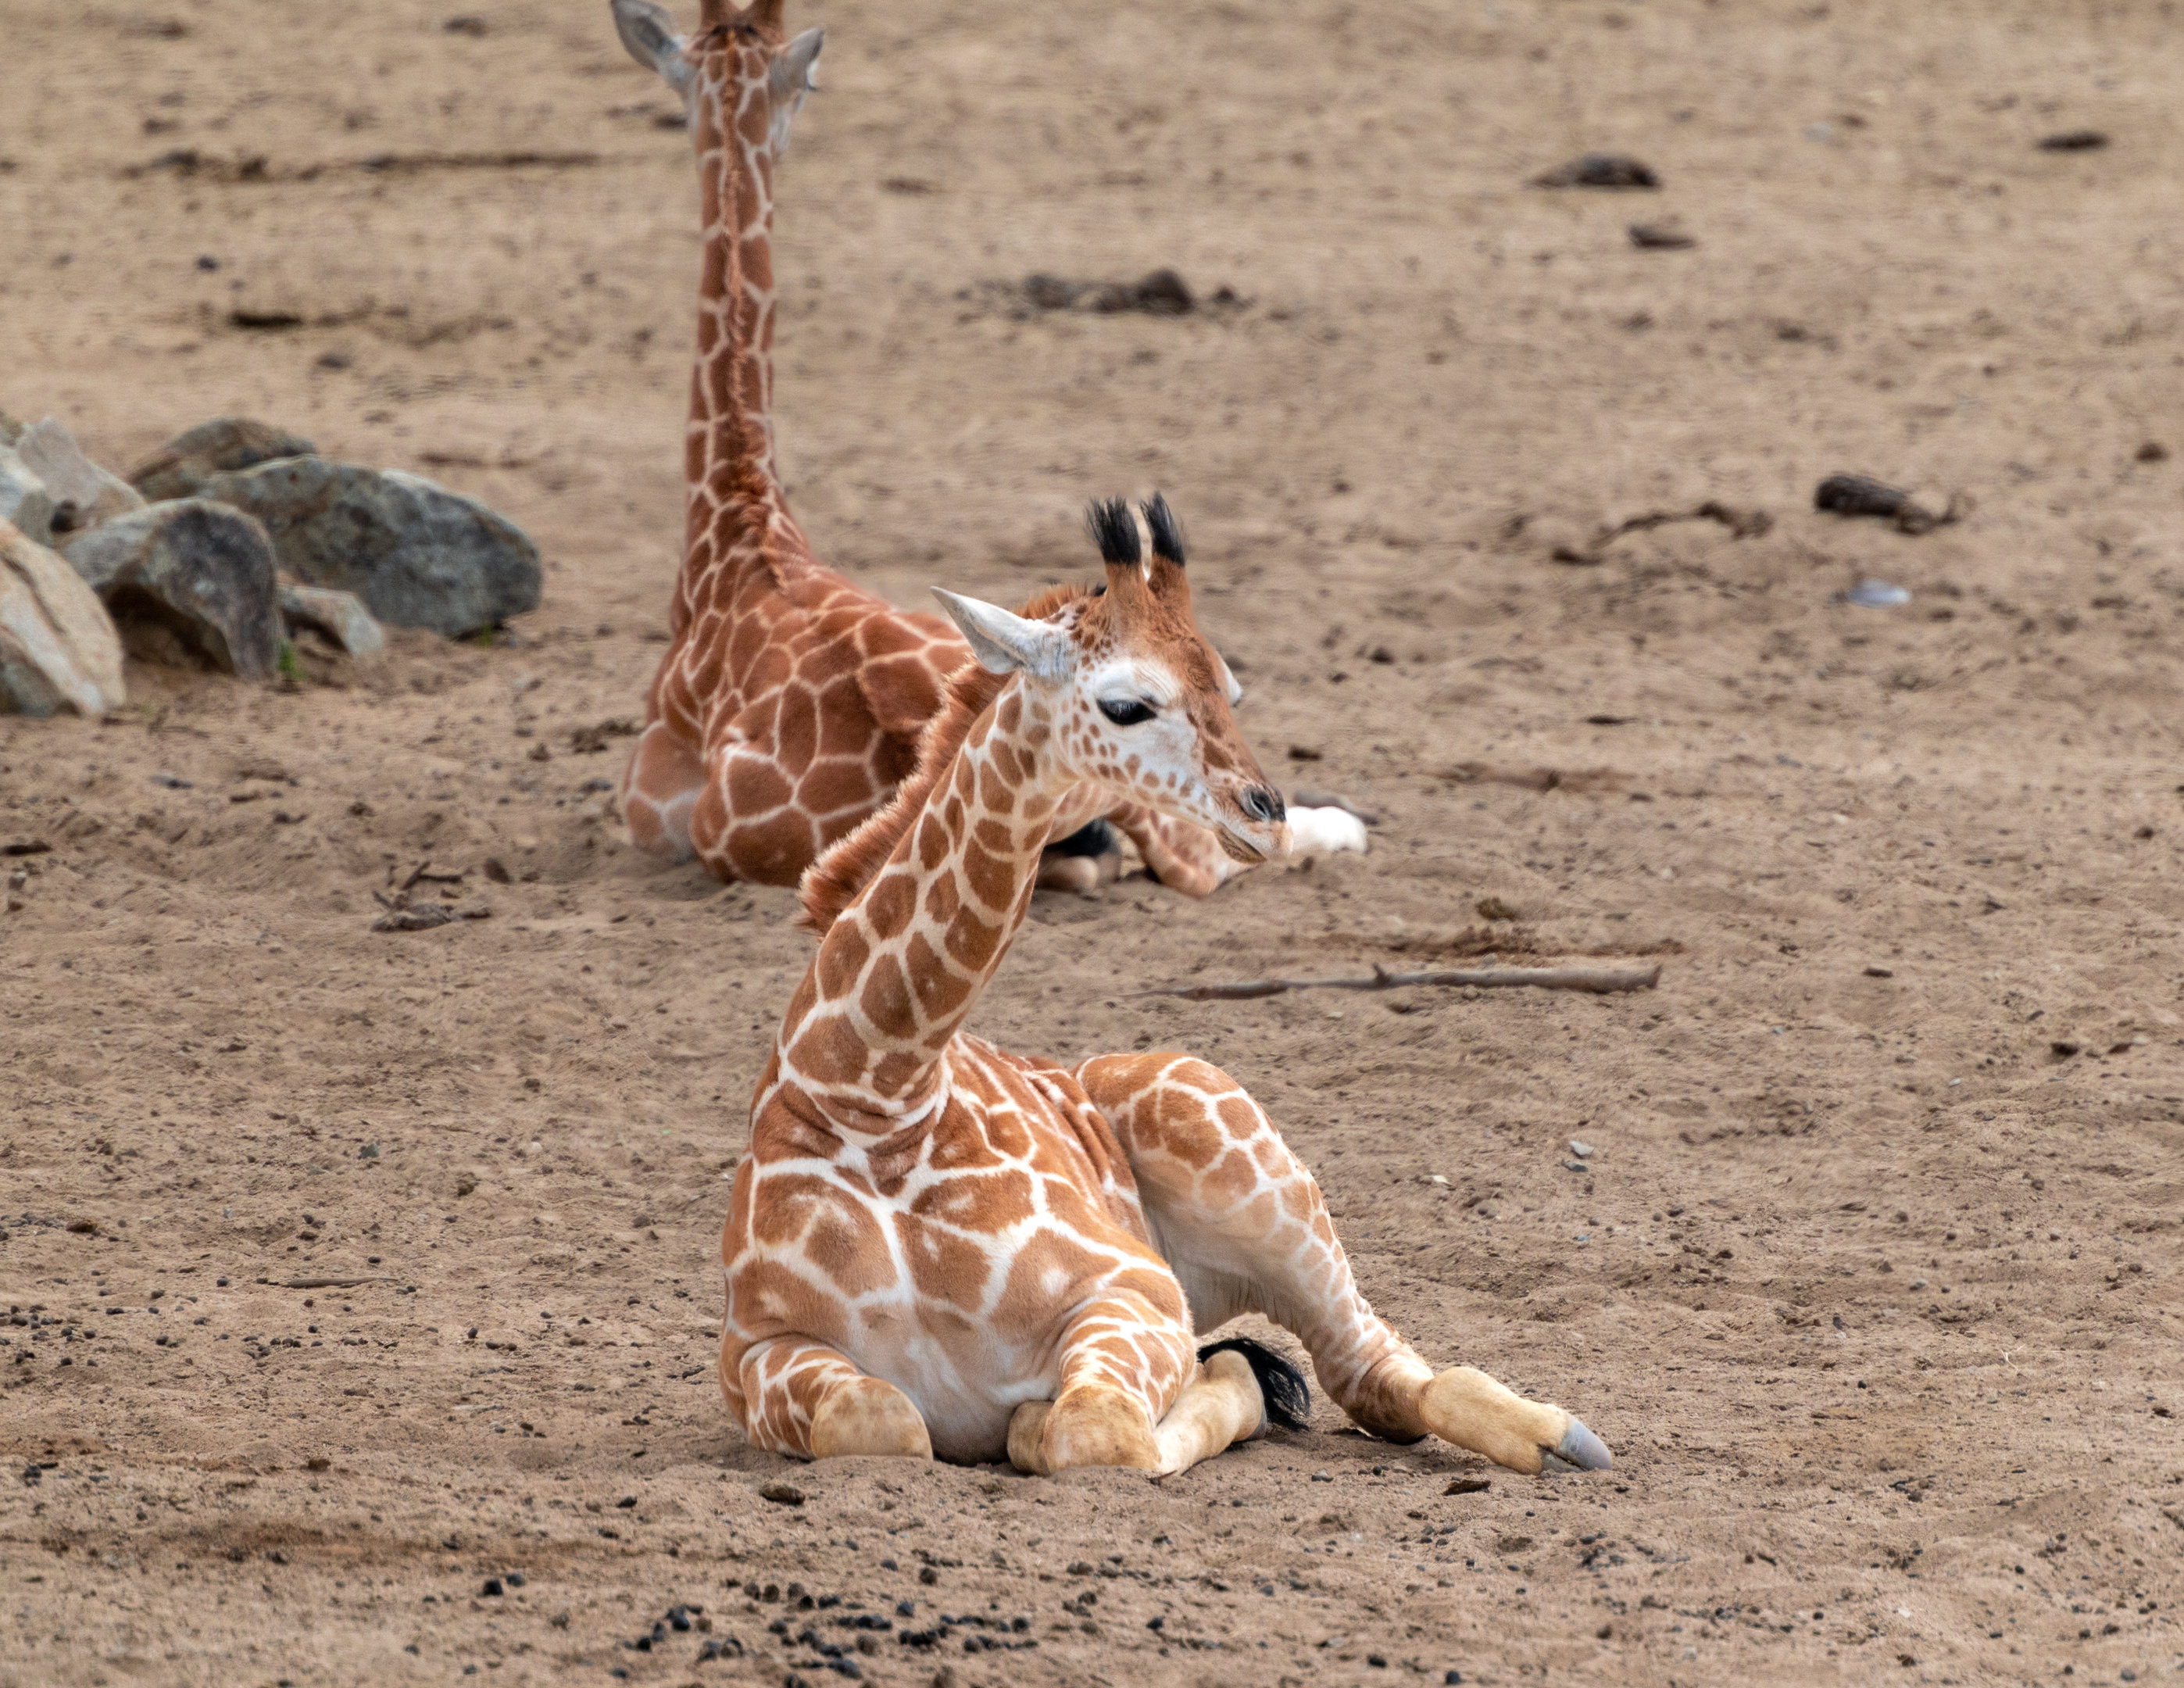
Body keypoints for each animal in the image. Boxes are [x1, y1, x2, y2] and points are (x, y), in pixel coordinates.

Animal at [719, 497, 1614, 1481]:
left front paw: (1163, 1398)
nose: (1265, 814)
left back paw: (1563, 1434)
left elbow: (1095, 1430)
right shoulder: (756, 1352)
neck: (871, 1090)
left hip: (1256, 1175)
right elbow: (879, 1419)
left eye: (1229, 686)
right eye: (1126, 703)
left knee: (1372, 1367)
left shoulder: (1132, 1289)